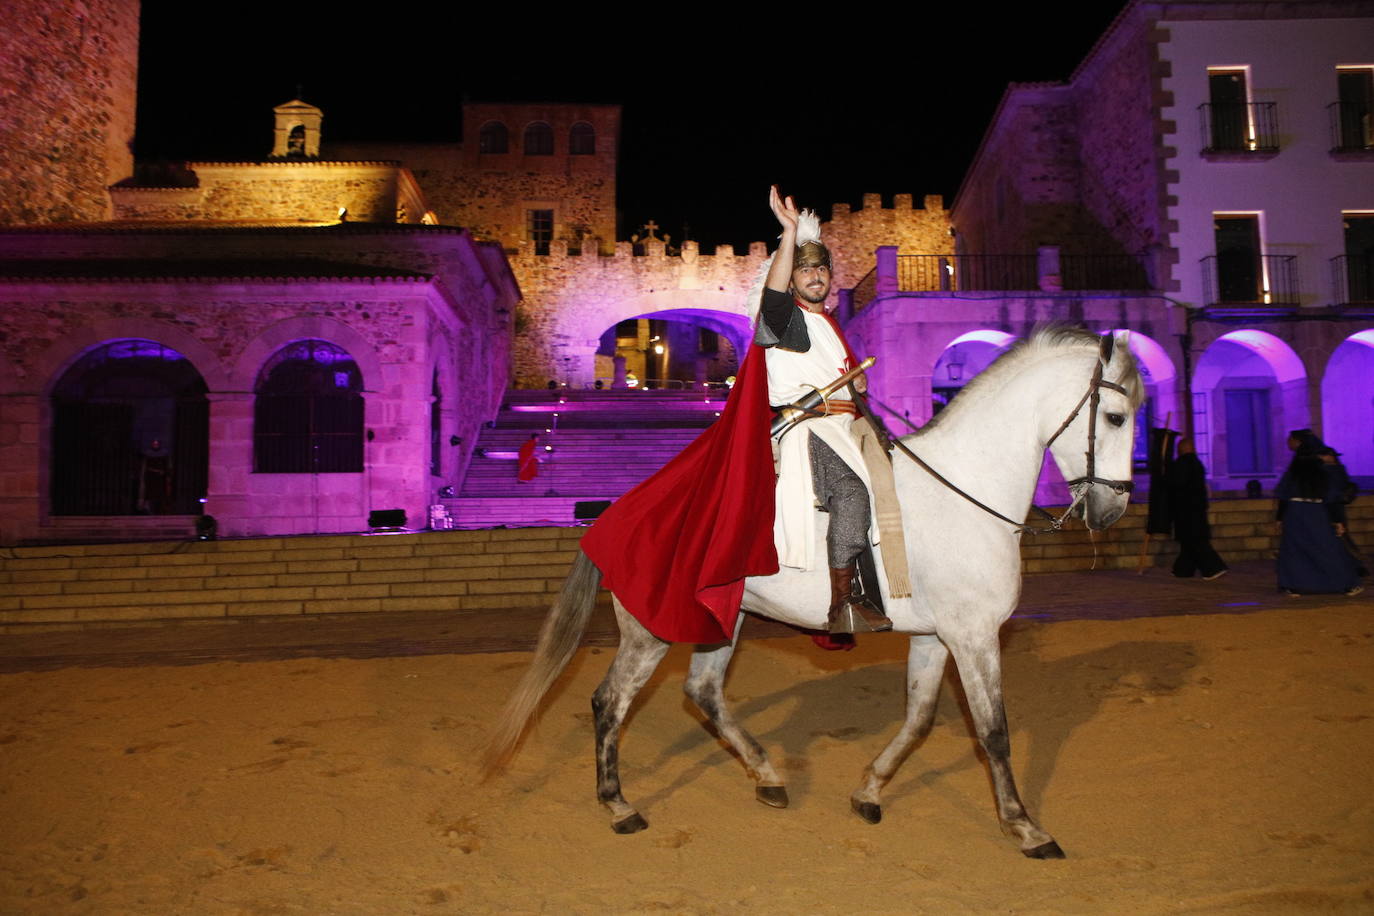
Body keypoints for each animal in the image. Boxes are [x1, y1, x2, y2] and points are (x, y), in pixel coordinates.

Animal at [489, 328, 1143, 862]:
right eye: (1114, 417)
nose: (1111, 510)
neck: (964, 490)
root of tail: (615, 512)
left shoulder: (938, 637)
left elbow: (919, 719)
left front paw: (870, 790)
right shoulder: (975, 637)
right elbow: (994, 731)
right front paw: (1026, 828)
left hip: (723, 620)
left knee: (703, 692)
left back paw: (767, 776)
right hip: (650, 631)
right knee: (610, 702)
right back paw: (620, 805)